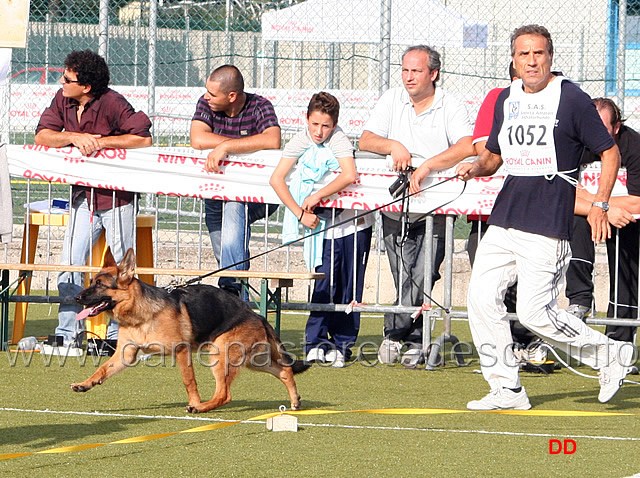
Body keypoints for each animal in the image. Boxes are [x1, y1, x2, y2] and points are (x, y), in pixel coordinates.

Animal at [72, 248, 310, 412]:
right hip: (254, 360)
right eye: (91, 281)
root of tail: (256, 315)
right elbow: (102, 370)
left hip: (221, 356)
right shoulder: (125, 355)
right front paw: (85, 383)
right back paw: (295, 400)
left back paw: (202, 407)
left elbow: (189, 381)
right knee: (285, 371)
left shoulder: (181, 351)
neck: (140, 313)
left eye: (100, 285)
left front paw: (194, 401)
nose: (76, 298)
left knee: (225, 394)